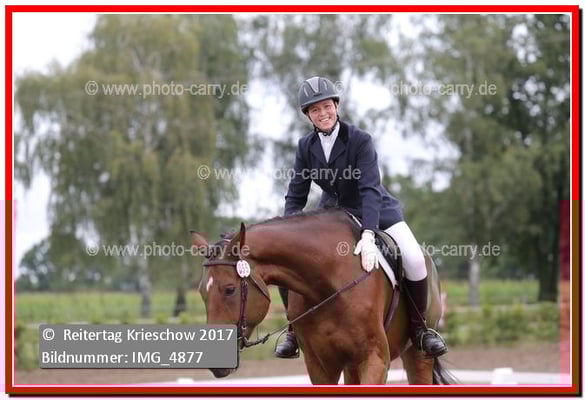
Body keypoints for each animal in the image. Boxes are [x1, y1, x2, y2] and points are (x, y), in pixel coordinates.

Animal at [191, 208, 454, 385]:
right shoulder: (320, 365)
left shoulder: (375, 359)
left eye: (229, 289)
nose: (216, 363)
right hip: (350, 365)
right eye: (202, 293)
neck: (327, 283)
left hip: (418, 355)